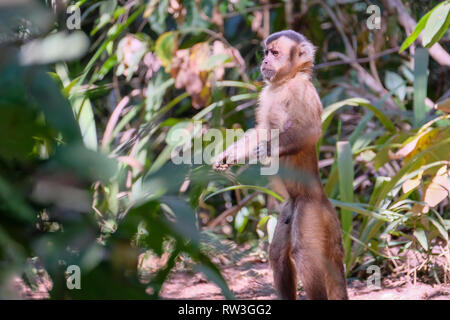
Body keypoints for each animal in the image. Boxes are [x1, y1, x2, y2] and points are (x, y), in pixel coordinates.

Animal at [214, 30, 348, 300]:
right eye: (266, 52)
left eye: (275, 53)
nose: (265, 61)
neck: (286, 82)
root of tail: (322, 197)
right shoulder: (267, 93)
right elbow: (261, 130)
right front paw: (229, 155)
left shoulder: (302, 90)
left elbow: (310, 131)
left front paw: (266, 150)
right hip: (289, 207)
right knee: (278, 253)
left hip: (310, 210)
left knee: (304, 254)